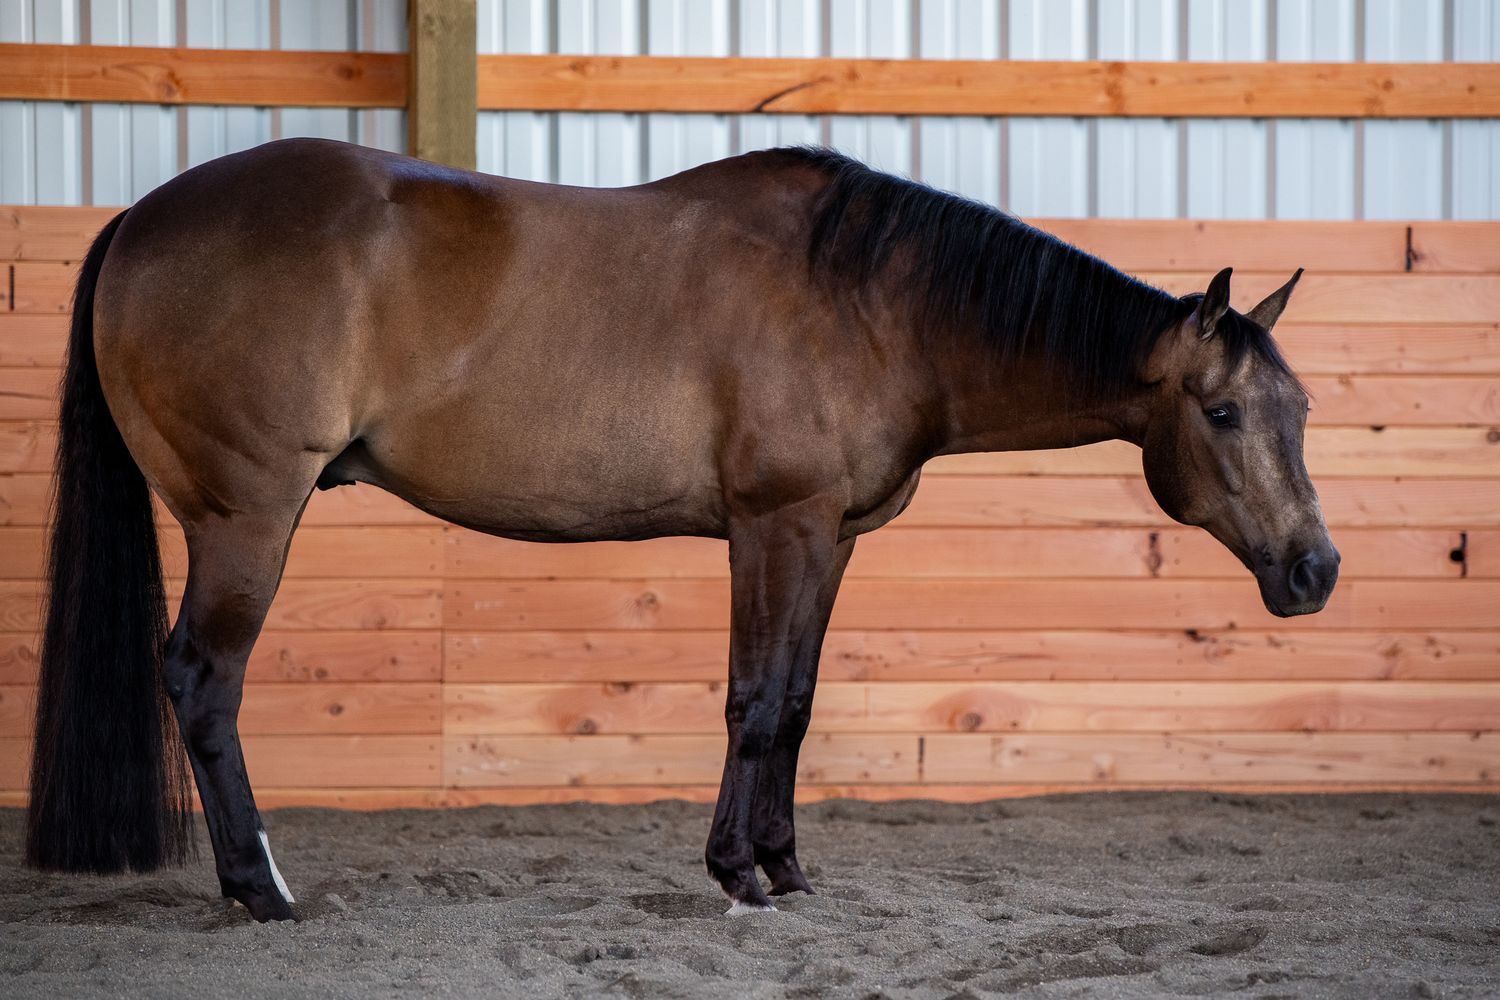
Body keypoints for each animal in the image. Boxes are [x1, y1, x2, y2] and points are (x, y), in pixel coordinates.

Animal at [25, 140, 1338, 921]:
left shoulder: (830, 538)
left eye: (1302, 410)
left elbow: (794, 704)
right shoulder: (773, 527)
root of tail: (141, 216)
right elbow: (753, 703)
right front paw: (734, 873)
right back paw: (261, 888)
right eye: (1223, 411)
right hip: (247, 521)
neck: (875, 303)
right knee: (203, 682)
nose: (1315, 569)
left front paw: (786, 866)